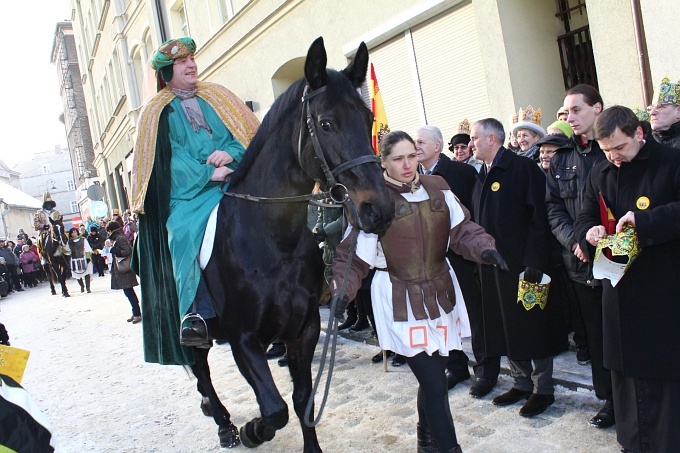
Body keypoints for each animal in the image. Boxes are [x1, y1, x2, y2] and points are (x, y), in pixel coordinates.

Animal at [191, 37, 394, 450]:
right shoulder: (244, 339)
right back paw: (223, 421)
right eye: (326, 123)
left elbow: (303, 400)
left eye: (368, 120)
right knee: (199, 367)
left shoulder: (304, 329)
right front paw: (254, 429)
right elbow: (275, 409)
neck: (273, 242)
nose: (378, 209)